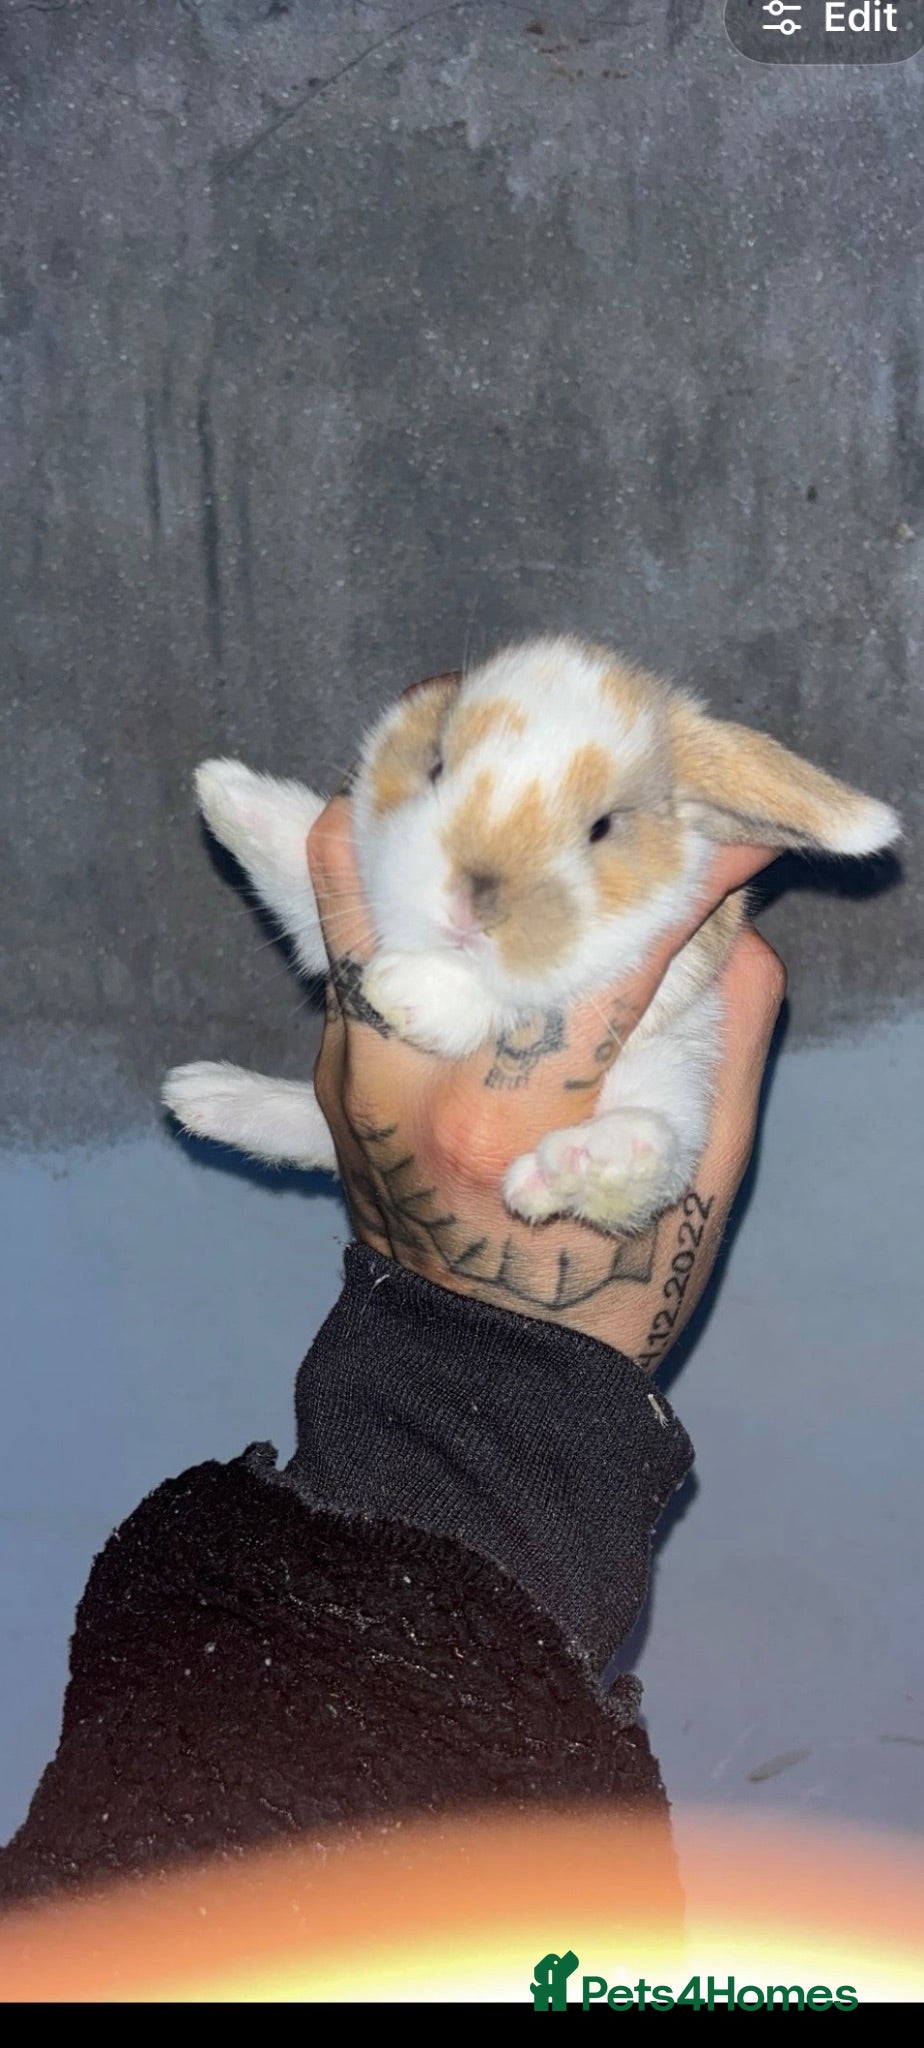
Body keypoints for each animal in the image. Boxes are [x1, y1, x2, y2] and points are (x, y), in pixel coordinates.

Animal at [163, 636, 900, 1234]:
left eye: (602, 828)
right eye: (436, 767)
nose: (472, 903)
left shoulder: (673, 961)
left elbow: (513, 999)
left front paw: (410, 994)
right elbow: (300, 884)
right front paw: (225, 792)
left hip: (681, 1072)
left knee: (657, 1152)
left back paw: (589, 1162)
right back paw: (204, 1098)